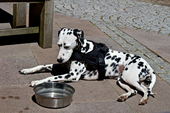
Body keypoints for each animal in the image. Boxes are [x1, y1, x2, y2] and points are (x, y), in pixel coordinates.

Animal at [19, 27, 156, 105]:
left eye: (66, 46)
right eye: (58, 45)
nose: (59, 59)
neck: (83, 50)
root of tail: (148, 65)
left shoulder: (72, 75)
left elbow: (50, 78)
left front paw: (37, 81)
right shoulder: (62, 67)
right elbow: (41, 66)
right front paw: (27, 70)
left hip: (129, 78)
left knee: (146, 90)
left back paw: (144, 99)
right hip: (121, 80)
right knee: (134, 91)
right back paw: (123, 96)